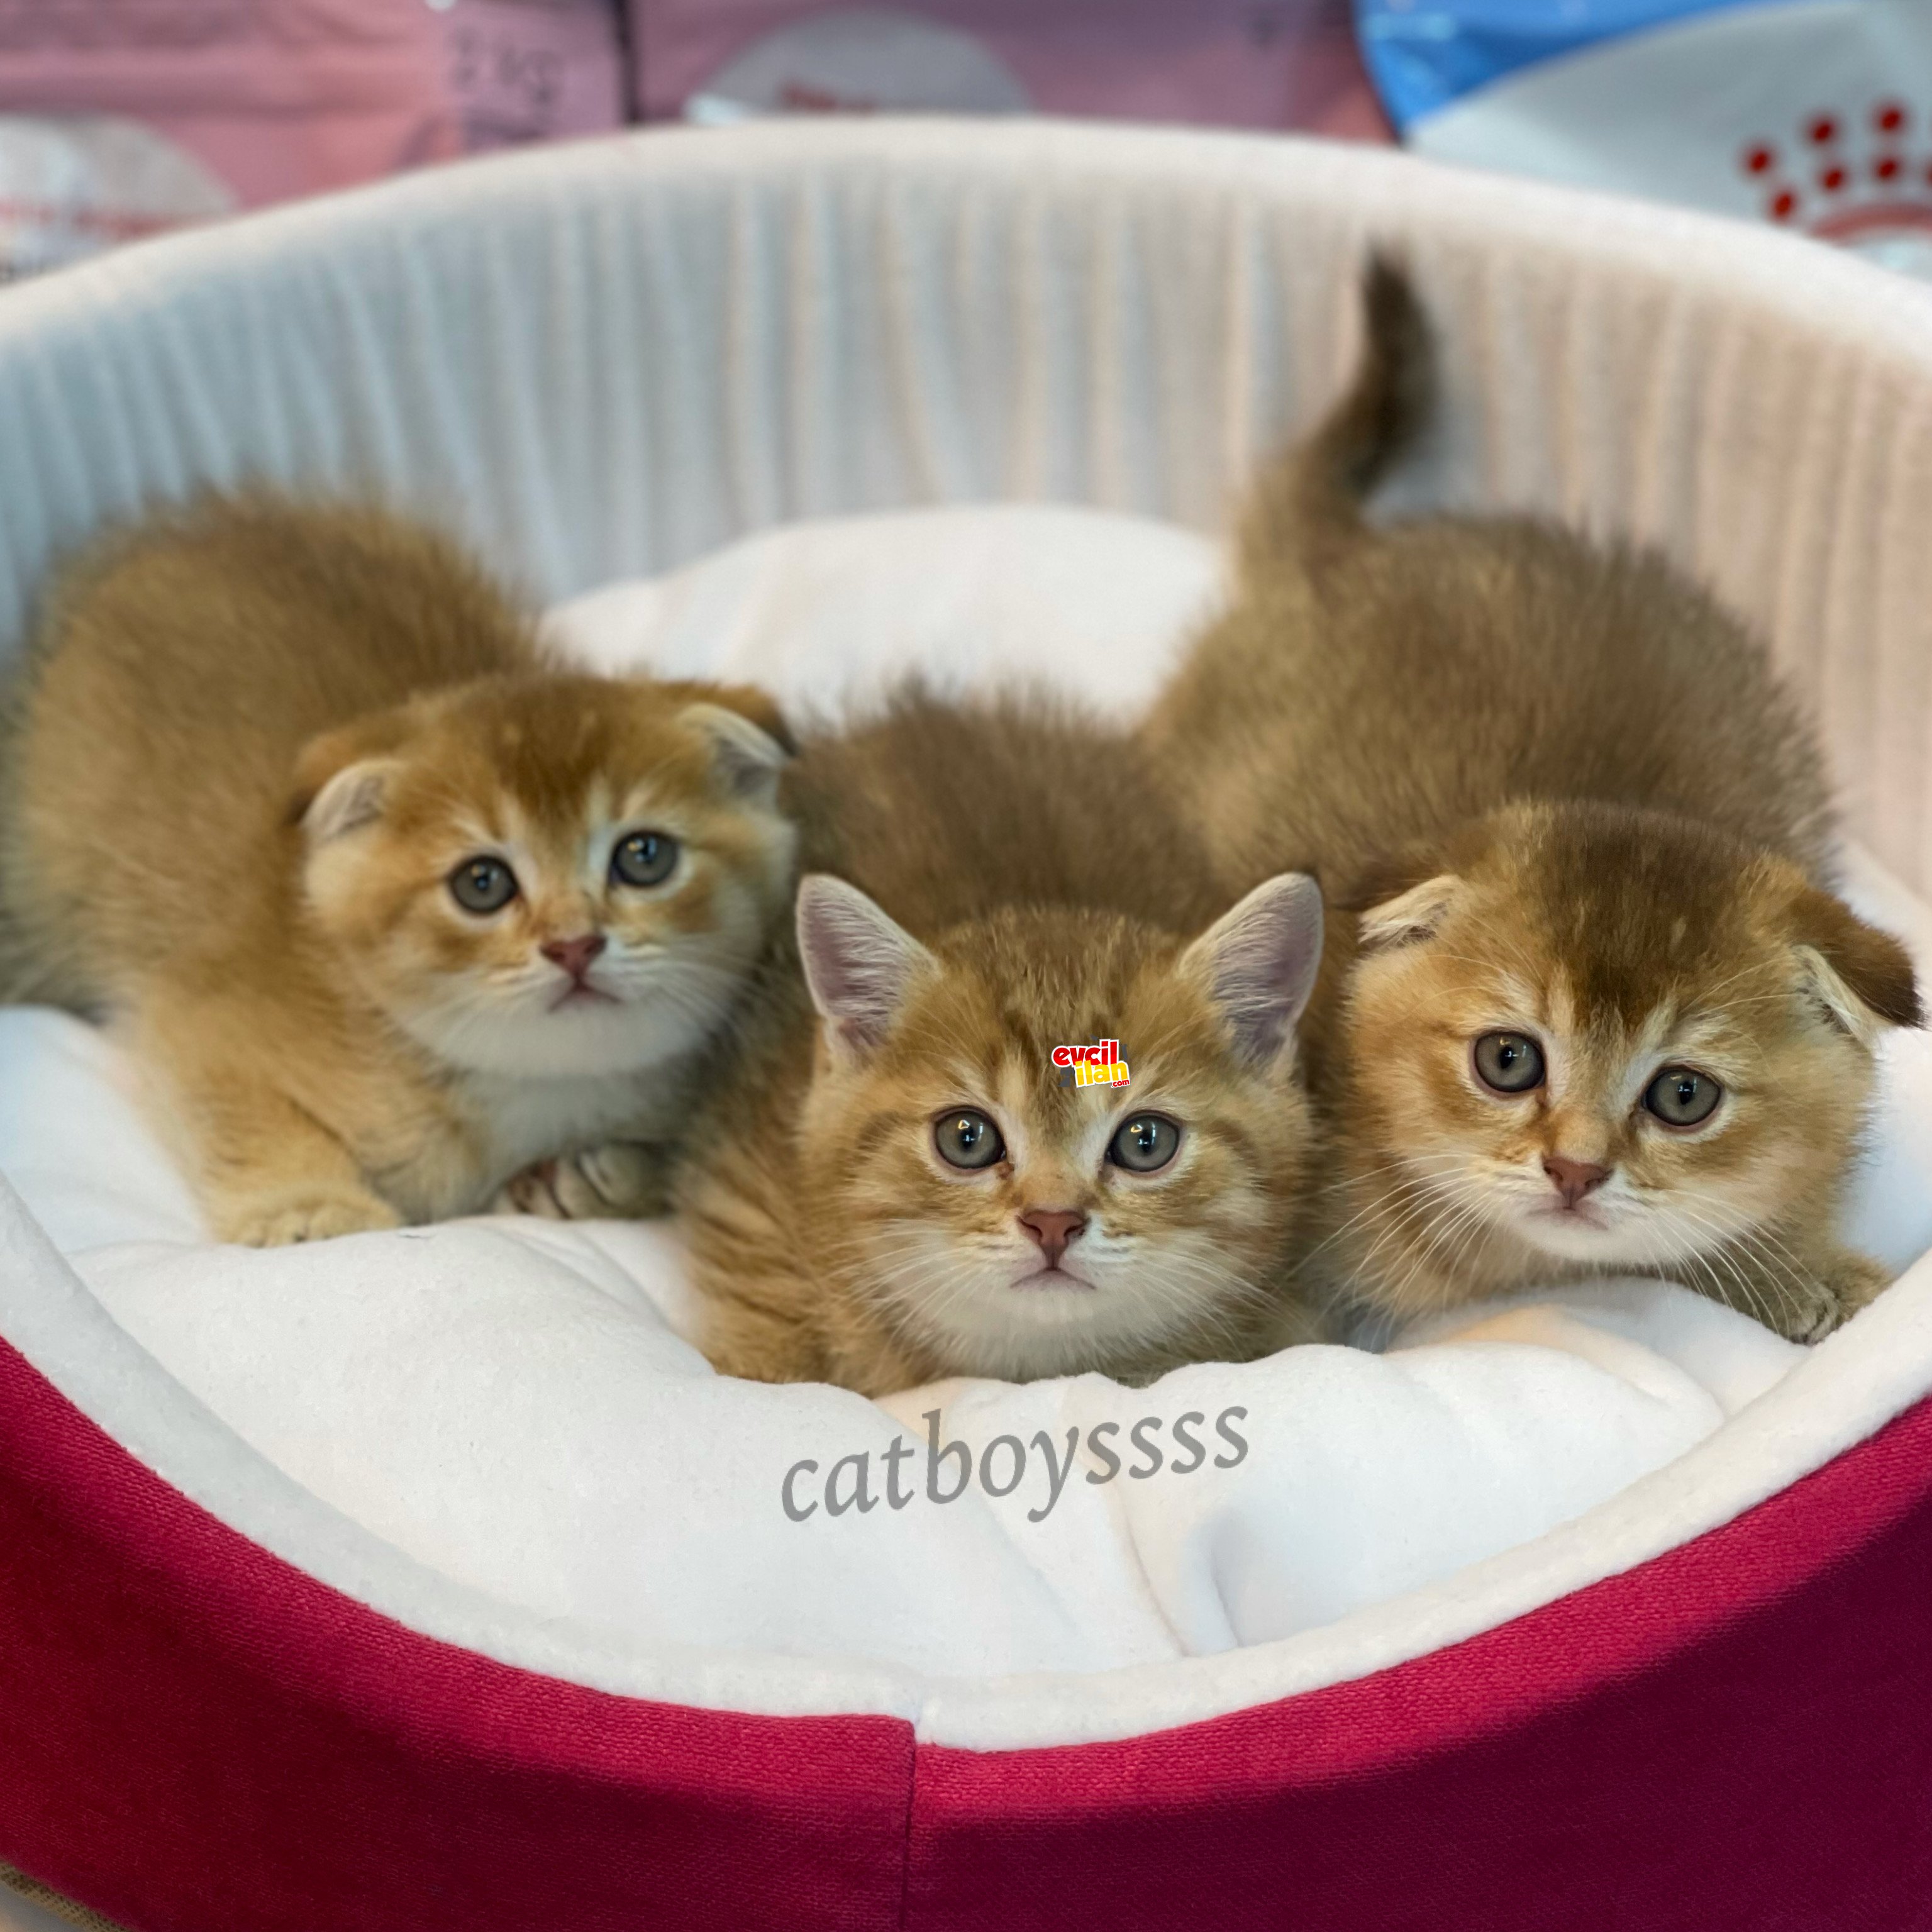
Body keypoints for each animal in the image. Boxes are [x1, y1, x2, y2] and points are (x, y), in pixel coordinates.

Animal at [0, 498, 796, 1244]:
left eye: (644, 857)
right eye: (482, 884)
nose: (574, 946)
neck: (529, 1088)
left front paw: (604, 1178)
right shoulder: (198, 1014)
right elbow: (245, 1113)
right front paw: (310, 1208)